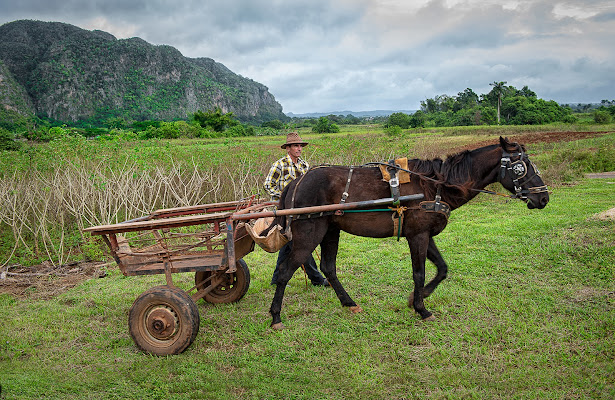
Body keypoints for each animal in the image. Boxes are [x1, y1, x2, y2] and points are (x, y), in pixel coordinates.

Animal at [268, 136, 552, 330]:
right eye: (521, 166)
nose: (544, 198)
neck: (437, 185)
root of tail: (296, 181)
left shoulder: (427, 234)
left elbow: (442, 269)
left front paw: (417, 298)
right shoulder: (417, 236)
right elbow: (420, 273)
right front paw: (421, 308)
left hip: (330, 230)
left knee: (328, 267)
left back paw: (349, 303)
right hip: (309, 233)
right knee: (285, 271)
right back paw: (276, 317)